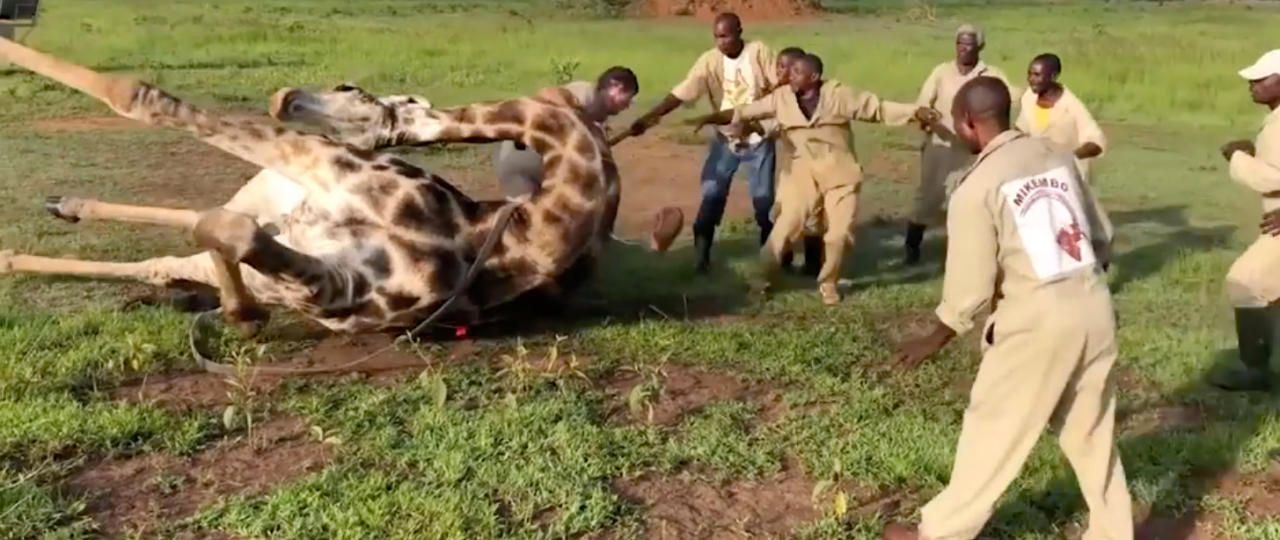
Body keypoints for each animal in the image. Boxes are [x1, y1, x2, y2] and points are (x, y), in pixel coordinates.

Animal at [0, 38, 619, 337]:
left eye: (353, 89)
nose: (287, 98)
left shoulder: (327, 278)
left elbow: (137, 96)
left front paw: (240, 315)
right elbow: (220, 227)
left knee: (179, 249)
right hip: (281, 182)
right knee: (185, 241)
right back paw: (63, 211)